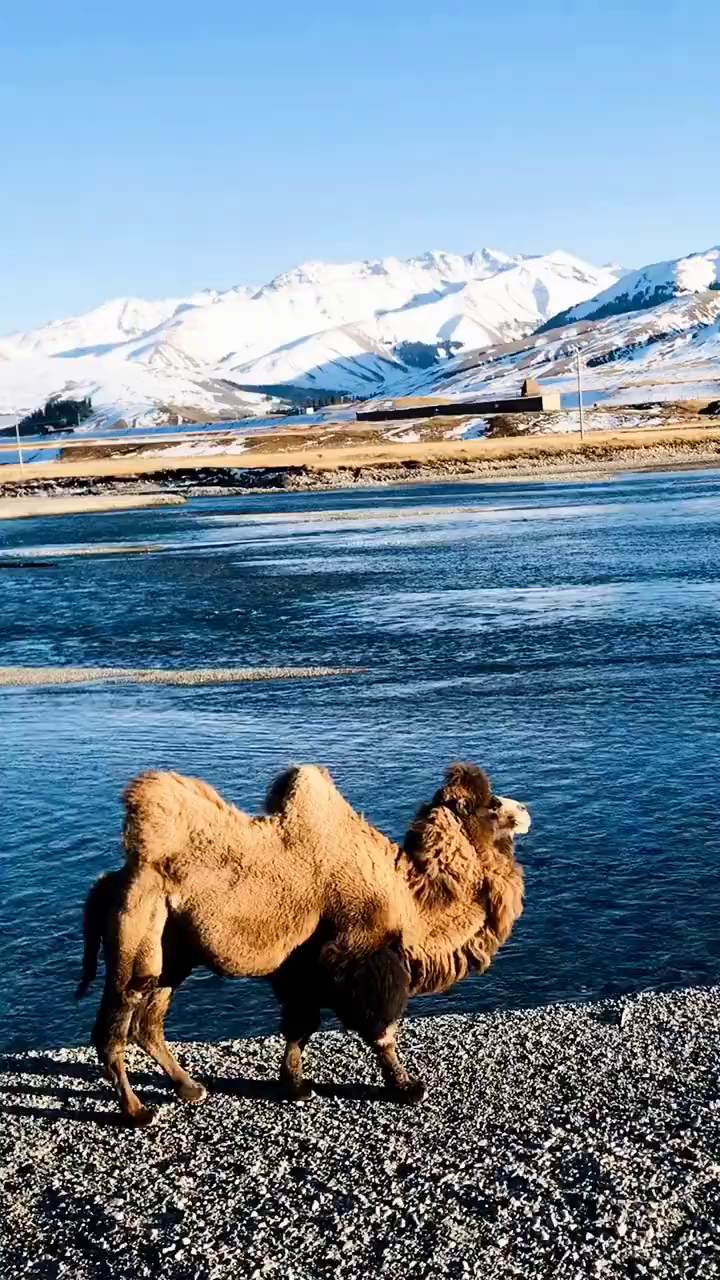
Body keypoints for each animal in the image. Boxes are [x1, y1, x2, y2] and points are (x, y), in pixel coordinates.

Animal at [78, 757, 527, 1121]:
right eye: (492, 805)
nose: (524, 810)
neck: (409, 896)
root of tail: (110, 883)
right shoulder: (360, 952)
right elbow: (381, 1026)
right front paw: (406, 1087)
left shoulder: (304, 967)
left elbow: (300, 1025)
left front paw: (294, 1086)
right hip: (138, 935)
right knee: (115, 1026)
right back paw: (136, 1111)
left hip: (174, 952)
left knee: (149, 1022)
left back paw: (189, 1088)